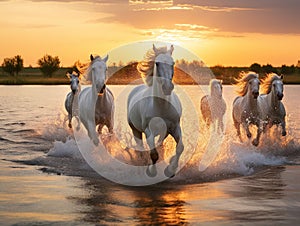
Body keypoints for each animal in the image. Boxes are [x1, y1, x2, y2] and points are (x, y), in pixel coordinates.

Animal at [126, 44, 183, 177]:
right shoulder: (148, 131)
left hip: (164, 132)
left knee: (160, 144)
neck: (162, 107)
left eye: (173, 63)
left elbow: (180, 148)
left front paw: (170, 170)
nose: (167, 87)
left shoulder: (175, 127)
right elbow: (153, 154)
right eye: (157, 63)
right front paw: (151, 171)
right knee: (141, 146)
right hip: (135, 130)